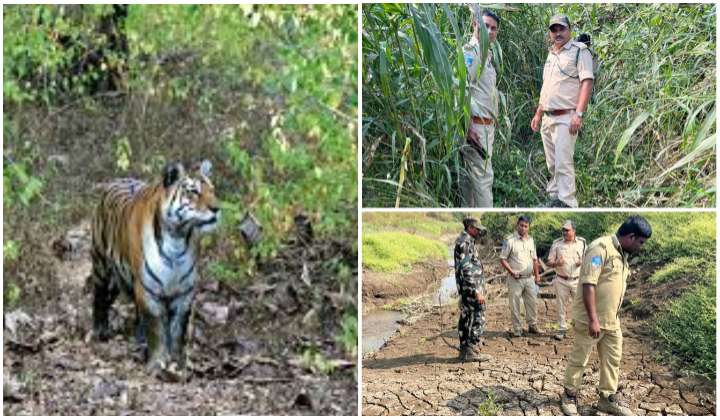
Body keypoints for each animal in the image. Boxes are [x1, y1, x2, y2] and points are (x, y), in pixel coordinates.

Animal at [90, 160, 220, 377]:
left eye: (213, 190)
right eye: (193, 191)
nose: (217, 209)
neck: (177, 238)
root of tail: (117, 180)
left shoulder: (184, 292)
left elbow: (177, 330)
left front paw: (177, 362)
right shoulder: (147, 288)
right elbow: (156, 327)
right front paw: (158, 362)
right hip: (103, 268)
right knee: (99, 298)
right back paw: (99, 331)